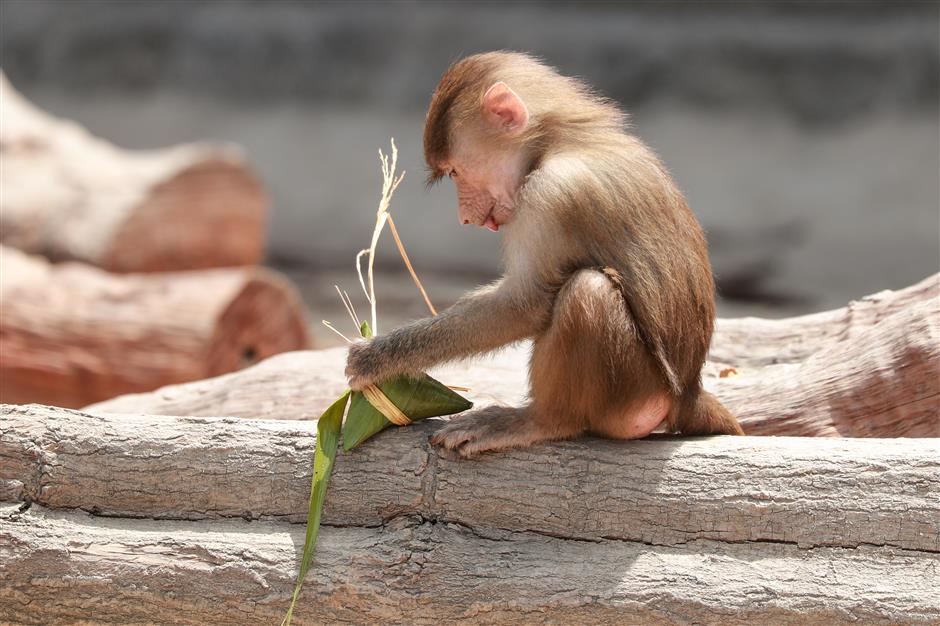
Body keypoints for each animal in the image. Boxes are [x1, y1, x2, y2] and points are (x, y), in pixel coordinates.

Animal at [346, 51, 740, 456]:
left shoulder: (548, 195)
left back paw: (541, 420)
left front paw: (376, 357)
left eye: (455, 171)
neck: (561, 140)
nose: (464, 217)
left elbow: (524, 303)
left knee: (587, 292)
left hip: (634, 395)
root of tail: (688, 393)